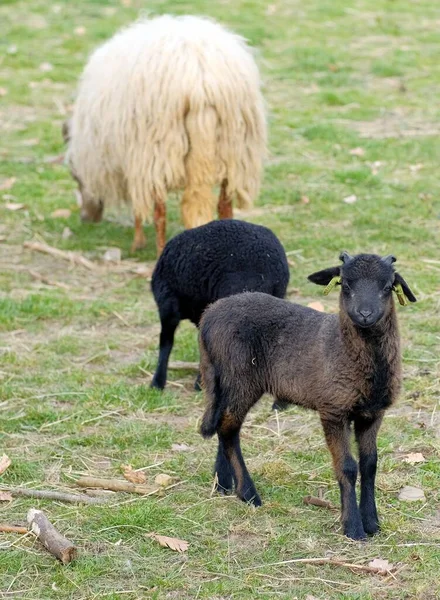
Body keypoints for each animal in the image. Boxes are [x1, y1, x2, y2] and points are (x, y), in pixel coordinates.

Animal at [64, 14, 266, 253]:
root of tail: (201, 83)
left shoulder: (133, 159)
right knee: (224, 206)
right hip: (236, 151)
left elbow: (139, 206)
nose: (86, 218)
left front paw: (137, 242)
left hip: (158, 150)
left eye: (75, 176)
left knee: (160, 212)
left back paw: (160, 251)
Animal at [199, 251, 416, 540]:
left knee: (222, 424)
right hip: (241, 378)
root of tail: (209, 314)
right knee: (228, 429)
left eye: (388, 286)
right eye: (345, 284)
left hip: (227, 380)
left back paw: (223, 482)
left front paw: (372, 522)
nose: (365, 314)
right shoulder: (333, 409)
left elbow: (370, 464)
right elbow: (348, 467)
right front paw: (353, 527)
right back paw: (248, 493)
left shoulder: (372, 413)